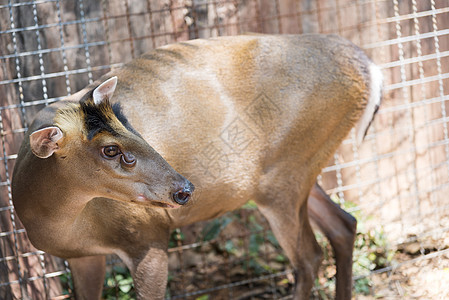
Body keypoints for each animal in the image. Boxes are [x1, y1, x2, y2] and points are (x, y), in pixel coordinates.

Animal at [11, 33, 382, 300]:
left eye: (130, 124)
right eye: (111, 149)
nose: (184, 189)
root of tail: (369, 66)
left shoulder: (148, 236)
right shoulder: (82, 257)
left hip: (285, 175)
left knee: (309, 256)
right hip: (300, 168)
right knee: (343, 224)